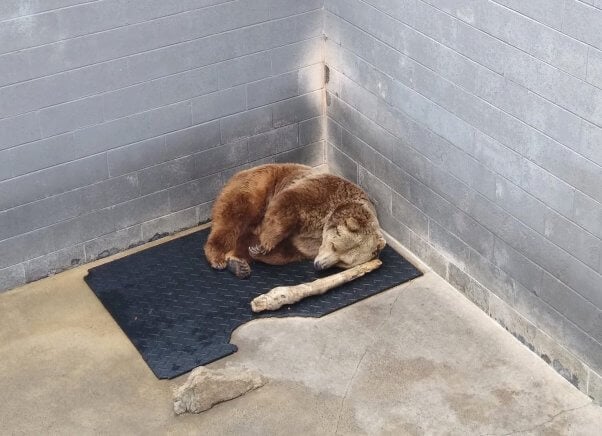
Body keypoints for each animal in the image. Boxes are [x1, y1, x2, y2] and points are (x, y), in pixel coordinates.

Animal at [204, 163, 386, 278]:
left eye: (343, 262)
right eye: (335, 246)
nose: (319, 265)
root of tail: (238, 173)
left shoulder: (306, 245)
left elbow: (286, 252)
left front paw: (256, 251)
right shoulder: (323, 193)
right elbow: (287, 205)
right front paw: (264, 244)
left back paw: (238, 264)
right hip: (256, 186)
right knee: (233, 218)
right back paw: (218, 257)